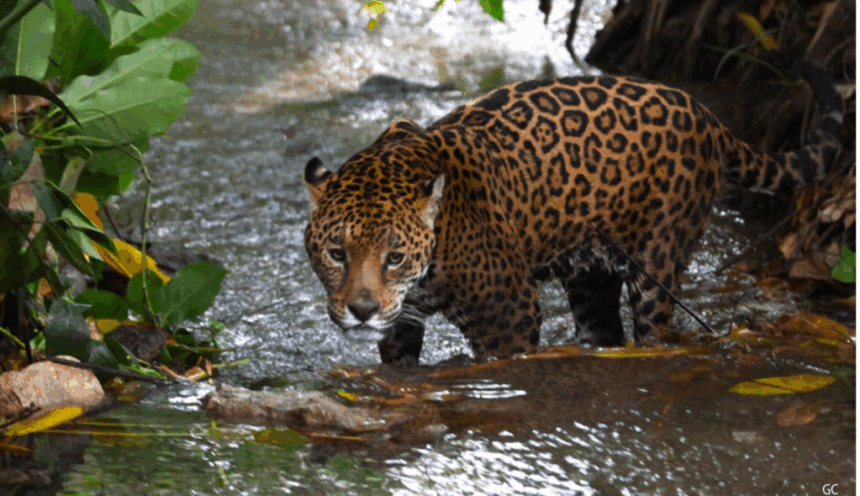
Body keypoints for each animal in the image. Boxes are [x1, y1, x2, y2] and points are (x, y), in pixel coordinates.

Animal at [302, 61, 843, 365]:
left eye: (394, 257)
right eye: (336, 253)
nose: (363, 310)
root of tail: (703, 112)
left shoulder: (508, 313)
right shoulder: (403, 323)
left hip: (658, 262)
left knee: (655, 327)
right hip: (591, 274)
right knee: (604, 328)